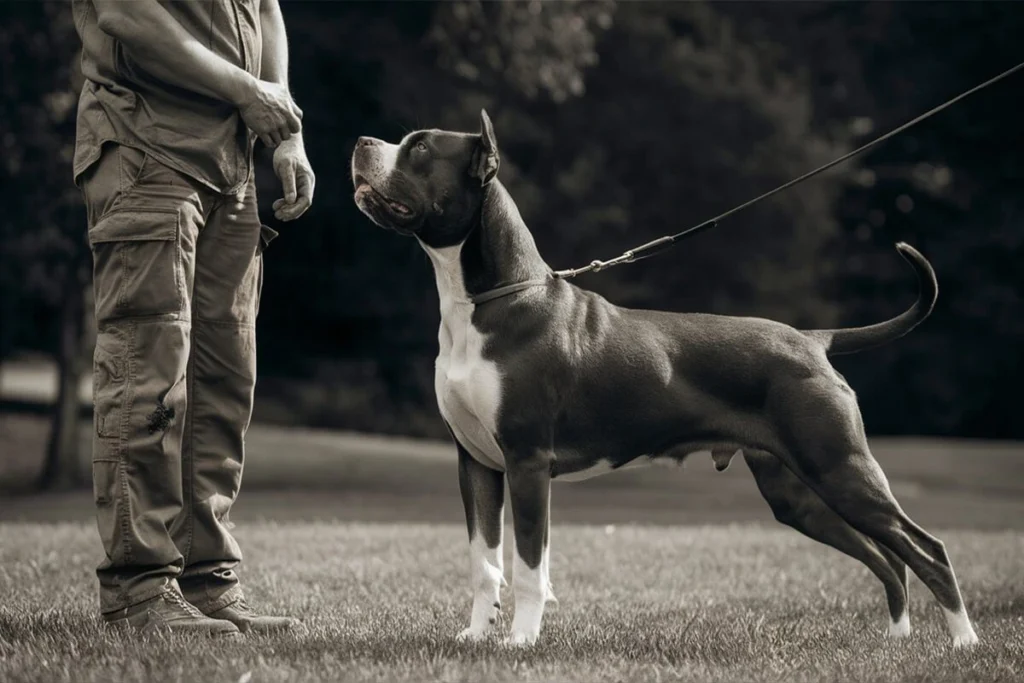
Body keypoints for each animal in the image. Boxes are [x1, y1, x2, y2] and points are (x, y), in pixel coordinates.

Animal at [350, 109, 974, 651]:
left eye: (421, 147)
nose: (360, 142)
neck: (489, 300)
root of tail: (814, 340)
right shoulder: (477, 463)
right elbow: (484, 563)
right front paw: (477, 637)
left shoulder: (527, 462)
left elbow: (528, 567)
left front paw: (521, 642)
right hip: (797, 494)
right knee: (887, 557)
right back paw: (897, 638)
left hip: (840, 469)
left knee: (927, 549)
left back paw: (964, 642)